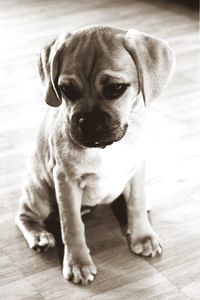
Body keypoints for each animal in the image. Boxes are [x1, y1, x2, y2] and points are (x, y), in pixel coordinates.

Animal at [15, 25, 175, 284]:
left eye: (116, 88)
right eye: (66, 89)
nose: (87, 121)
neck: (107, 148)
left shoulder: (137, 169)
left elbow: (136, 204)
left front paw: (142, 236)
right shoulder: (66, 181)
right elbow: (72, 226)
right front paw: (78, 262)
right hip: (38, 192)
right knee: (23, 214)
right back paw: (39, 235)